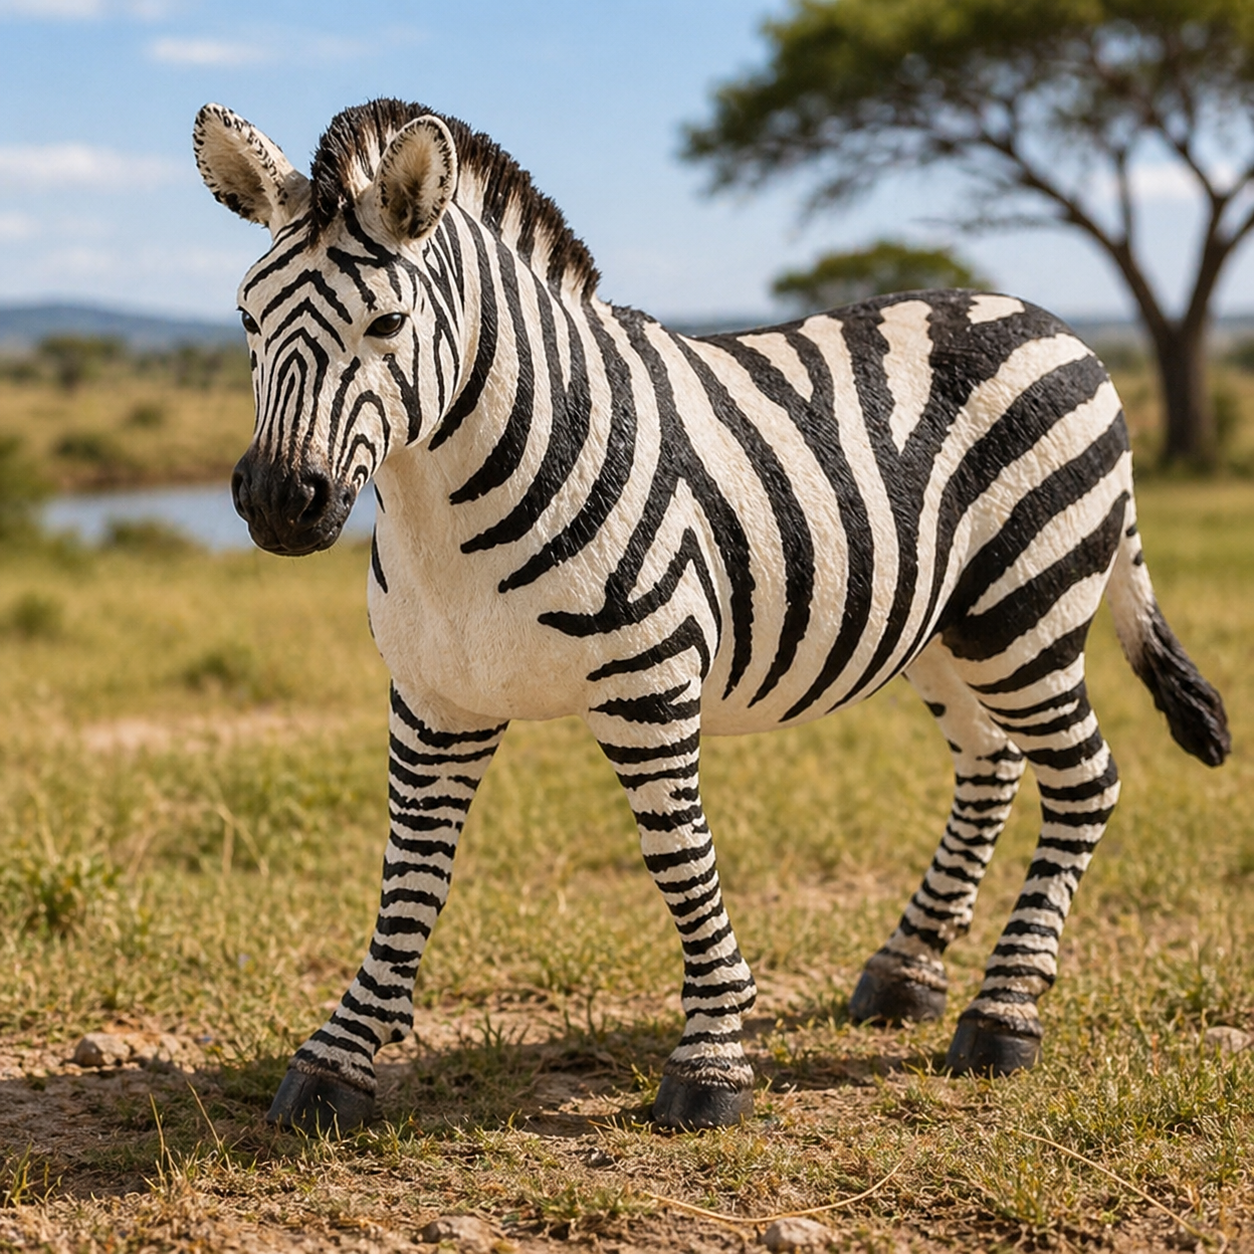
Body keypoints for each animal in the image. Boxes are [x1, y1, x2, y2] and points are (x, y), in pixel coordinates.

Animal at [194, 98, 1230, 1133]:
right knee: (994, 765)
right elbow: (409, 876)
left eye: (388, 321)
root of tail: (1055, 326)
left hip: (1028, 610)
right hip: (945, 632)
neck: (447, 513)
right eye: (246, 318)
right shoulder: (435, 694)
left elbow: (677, 859)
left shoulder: (648, 684)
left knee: (1086, 782)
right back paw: (907, 970)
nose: (279, 502)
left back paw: (1003, 1013)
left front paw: (713, 1061)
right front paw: (338, 1059)